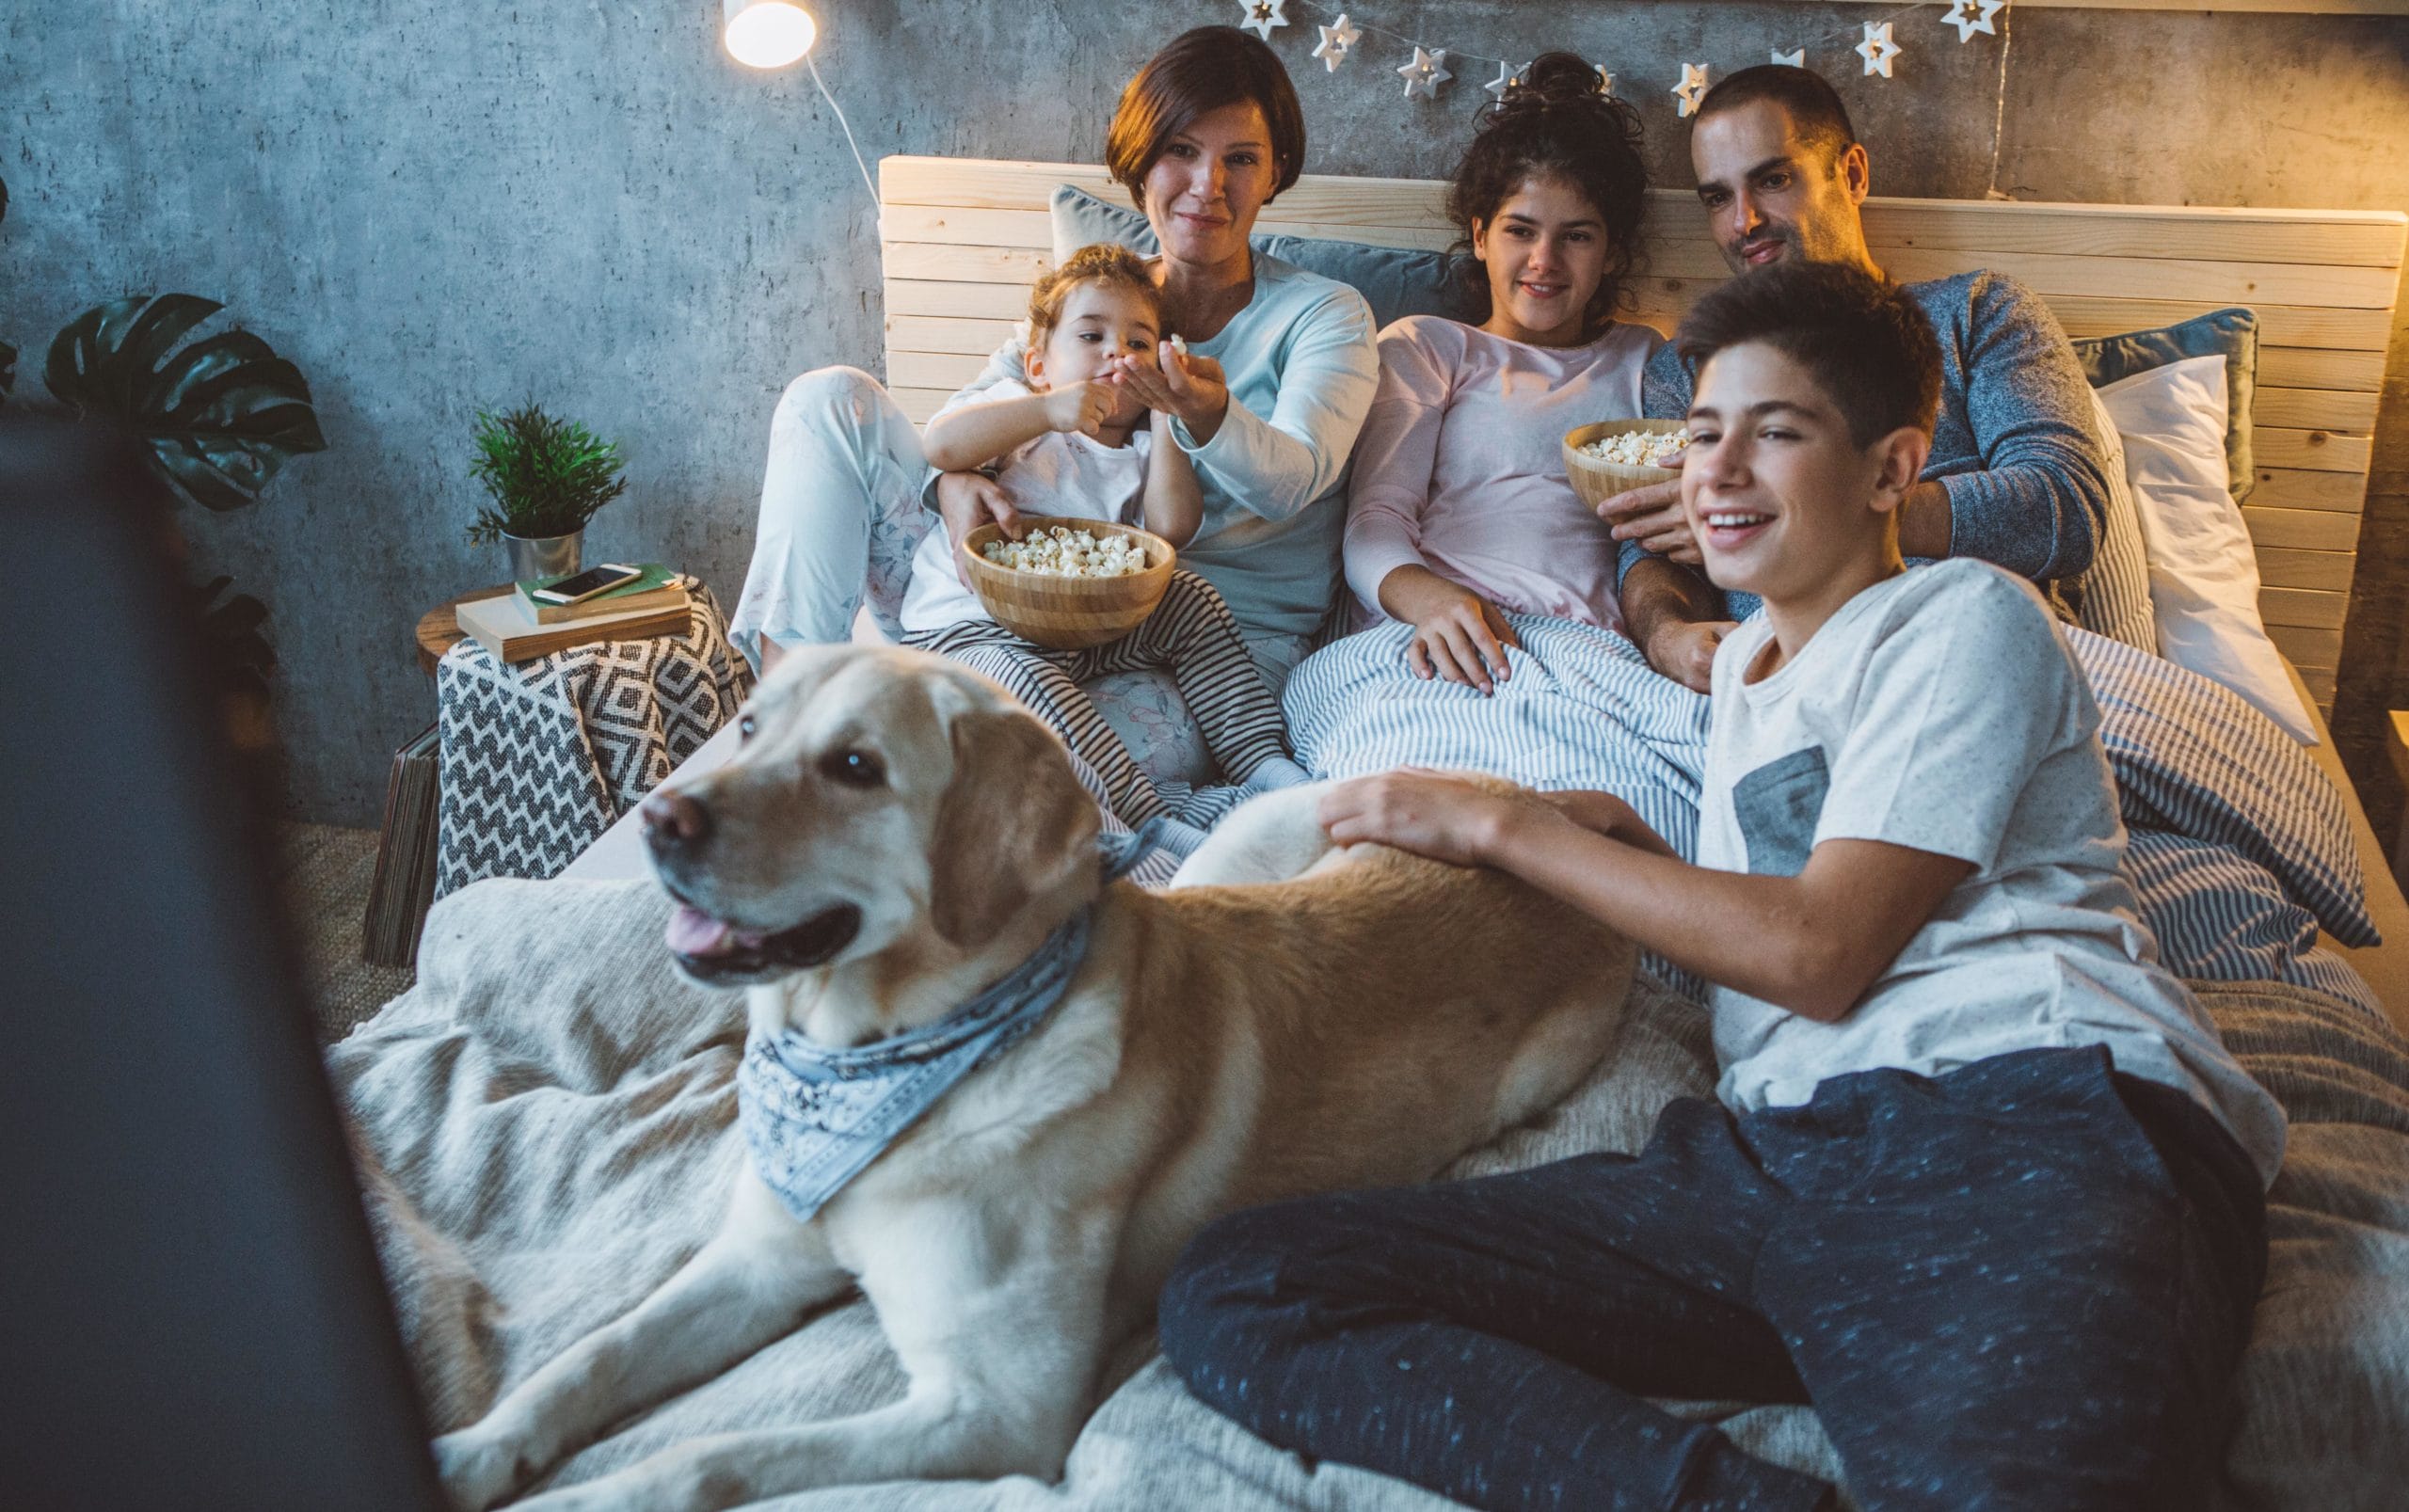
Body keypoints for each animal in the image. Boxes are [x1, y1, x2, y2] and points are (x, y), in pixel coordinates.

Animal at [433, 640, 1637, 1512]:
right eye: (745, 724)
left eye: (856, 766)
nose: (656, 815)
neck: (882, 1060)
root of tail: (1566, 811)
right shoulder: (759, 1260)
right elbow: (588, 1357)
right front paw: (477, 1447)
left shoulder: (995, 1410)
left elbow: (711, 1456)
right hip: (1260, 832)